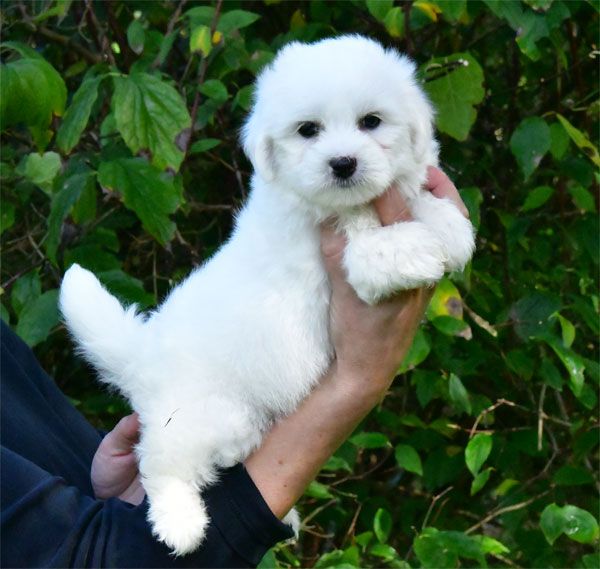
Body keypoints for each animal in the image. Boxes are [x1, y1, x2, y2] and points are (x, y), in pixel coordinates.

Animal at [59, 35, 474, 556]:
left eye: (371, 122)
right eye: (308, 130)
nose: (343, 163)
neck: (342, 205)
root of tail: (144, 353)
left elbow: (420, 201)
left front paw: (449, 228)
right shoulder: (343, 250)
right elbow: (373, 249)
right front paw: (415, 248)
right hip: (198, 414)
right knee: (161, 461)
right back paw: (180, 523)